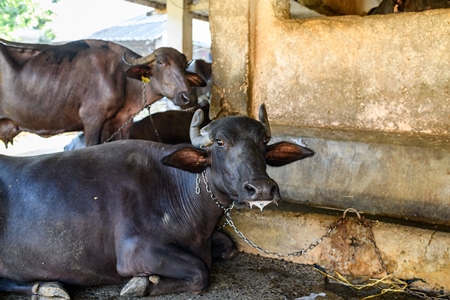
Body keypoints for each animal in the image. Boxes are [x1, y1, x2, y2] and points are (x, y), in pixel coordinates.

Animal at [0, 39, 206, 148]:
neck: (122, 78)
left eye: (184, 65)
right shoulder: (92, 119)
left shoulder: (121, 123)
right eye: (161, 62)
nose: (188, 97)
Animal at [0, 103, 316, 298]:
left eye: (263, 142)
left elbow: (228, 246)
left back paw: (46, 286)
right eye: (220, 143)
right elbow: (201, 271)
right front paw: (141, 284)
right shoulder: (135, 252)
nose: (261, 188)